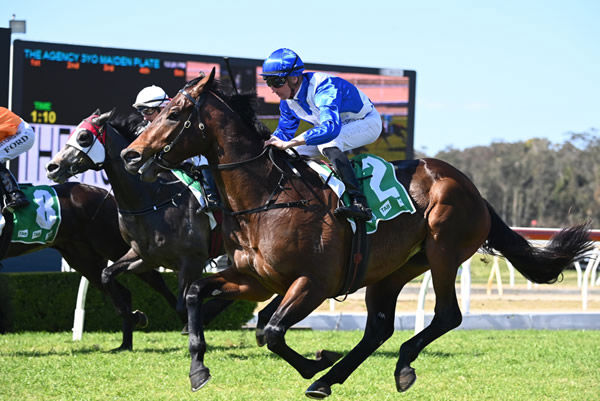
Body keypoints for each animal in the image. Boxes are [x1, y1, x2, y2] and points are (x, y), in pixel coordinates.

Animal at [0, 181, 179, 346]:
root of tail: (107, 195)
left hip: (114, 245)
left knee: (154, 278)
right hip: (82, 259)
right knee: (122, 289)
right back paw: (126, 342)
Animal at [119, 70, 592, 398]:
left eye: (174, 115)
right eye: (155, 113)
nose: (130, 155)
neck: (268, 198)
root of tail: (468, 185)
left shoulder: (313, 282)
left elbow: (271, 331)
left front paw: (313, 361)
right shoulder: (254, 279)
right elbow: (198, 295)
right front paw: (198, 368)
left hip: (443, 251)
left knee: (447, 316)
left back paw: (392, 367)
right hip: (393, 269)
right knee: (378, 329)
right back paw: (334, 378)